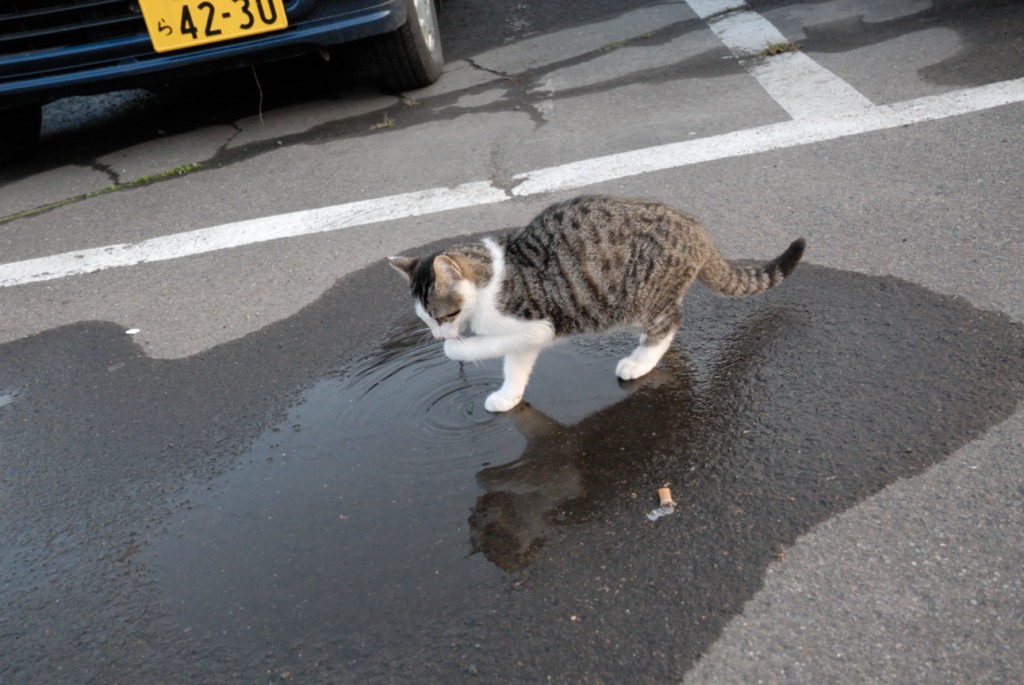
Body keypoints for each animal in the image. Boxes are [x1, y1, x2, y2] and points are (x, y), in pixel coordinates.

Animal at [387, 193, 802, 411]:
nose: (437, 337)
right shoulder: (526, 340)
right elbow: (515, 366)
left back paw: (640, 361)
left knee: (670, 321)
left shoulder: (537, 324)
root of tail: (696, 228)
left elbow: (489, 344)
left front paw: (456, 350)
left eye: (445, 315)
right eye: (426, 321)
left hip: (643, 297)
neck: (495, 276)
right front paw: (508, 397)